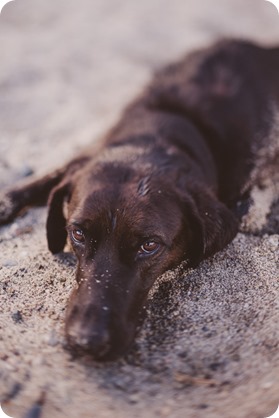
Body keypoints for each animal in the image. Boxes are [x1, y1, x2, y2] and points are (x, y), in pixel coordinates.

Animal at [0, 38, 279, 360]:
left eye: (149, 246)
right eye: (78, 233)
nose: (86, 341)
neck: (165, 129)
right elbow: (50, 176)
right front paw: (6, 200)